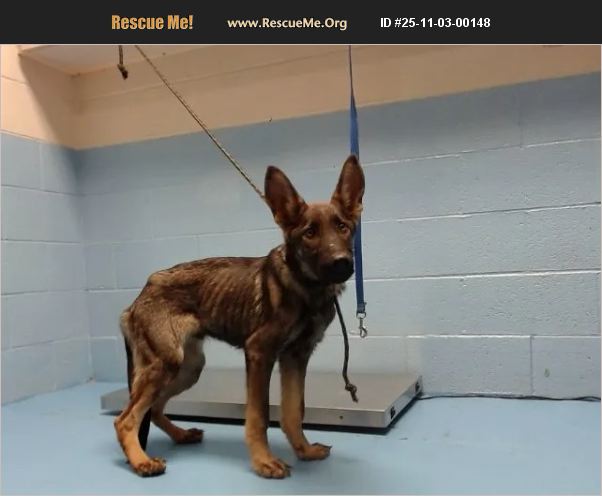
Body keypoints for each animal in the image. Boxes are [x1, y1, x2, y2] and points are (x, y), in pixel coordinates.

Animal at [114, 155, 365, 478]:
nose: (341, 264)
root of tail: (138, 298)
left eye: (343, 227)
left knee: (154, 409)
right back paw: (141, 461)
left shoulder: (296, 356)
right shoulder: (259, 352)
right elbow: (259, 416)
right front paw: (264, 462)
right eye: (309, 233)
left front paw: (304, 451)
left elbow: (293, 410)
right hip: (165, 363)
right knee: (126, 418)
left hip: (188, 367)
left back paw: (180, 436)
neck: (305, 286)